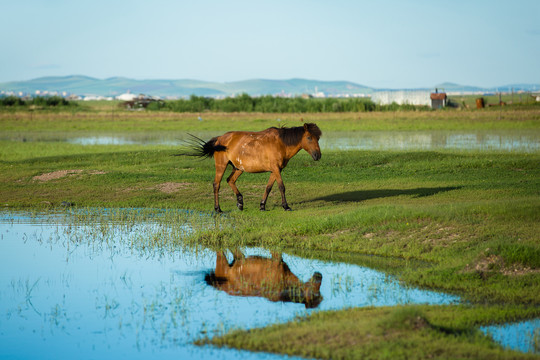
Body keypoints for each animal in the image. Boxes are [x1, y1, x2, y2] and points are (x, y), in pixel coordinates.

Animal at [186, 124, 320, 214]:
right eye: (309, 137)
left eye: (318, 138)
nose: (318, 155)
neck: (281, 143)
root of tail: (220, 138)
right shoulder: (276, 169)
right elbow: (281, 187)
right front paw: (286, 206)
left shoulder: (275, 170)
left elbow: (268, 187)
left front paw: (262, 206)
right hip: (221, 165)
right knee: (216, 184)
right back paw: (218, 209)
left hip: (238, 168)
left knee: (230, 180)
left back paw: (240, 202)